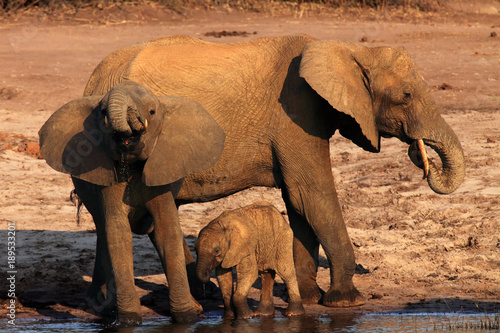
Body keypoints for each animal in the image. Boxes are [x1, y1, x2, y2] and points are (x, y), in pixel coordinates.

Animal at [38, 80, 226, 324]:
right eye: (102, 112)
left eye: (152, 112)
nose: (129, 130)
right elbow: (118, 232)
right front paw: (128, 320)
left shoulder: (161, 170)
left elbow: (167, 230)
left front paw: (186, 318)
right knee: (103, 231)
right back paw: (106, 308)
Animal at [81, 33, 464, 306]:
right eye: (407, 95)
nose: (420, 156)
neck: (349, 49)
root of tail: (96, 76)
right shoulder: (295, 112)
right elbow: (311, 195)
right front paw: (346, 302)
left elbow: (298, 203)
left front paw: (309, 297)